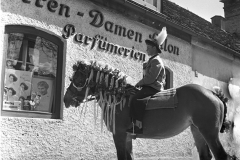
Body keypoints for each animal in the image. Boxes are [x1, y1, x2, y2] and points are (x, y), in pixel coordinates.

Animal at [63, 60, 236, 159]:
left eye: (78, 79)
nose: (66, 99)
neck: (119, 98)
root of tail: (212, 93)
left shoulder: (119, 135)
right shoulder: (127, 137)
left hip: (209, 132)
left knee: (221, 156)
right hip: (197, 130)